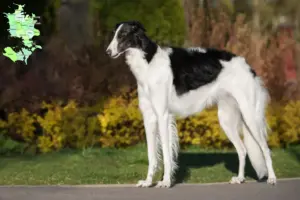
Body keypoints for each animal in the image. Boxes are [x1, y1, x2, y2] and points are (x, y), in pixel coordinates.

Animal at [105, 20, 276, 188]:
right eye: (114, 34)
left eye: (123, 35)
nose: (107, 52)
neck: (148, 62)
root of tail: (247, 65)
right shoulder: (149, 117)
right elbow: (152, 155)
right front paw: (148, 182)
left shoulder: (162, 115)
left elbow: (166, 154)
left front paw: (165, 182)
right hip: (226, 119)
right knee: (242, 150)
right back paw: (240, 178)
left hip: (250, 116)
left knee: (265, 149)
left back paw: (272, 178)